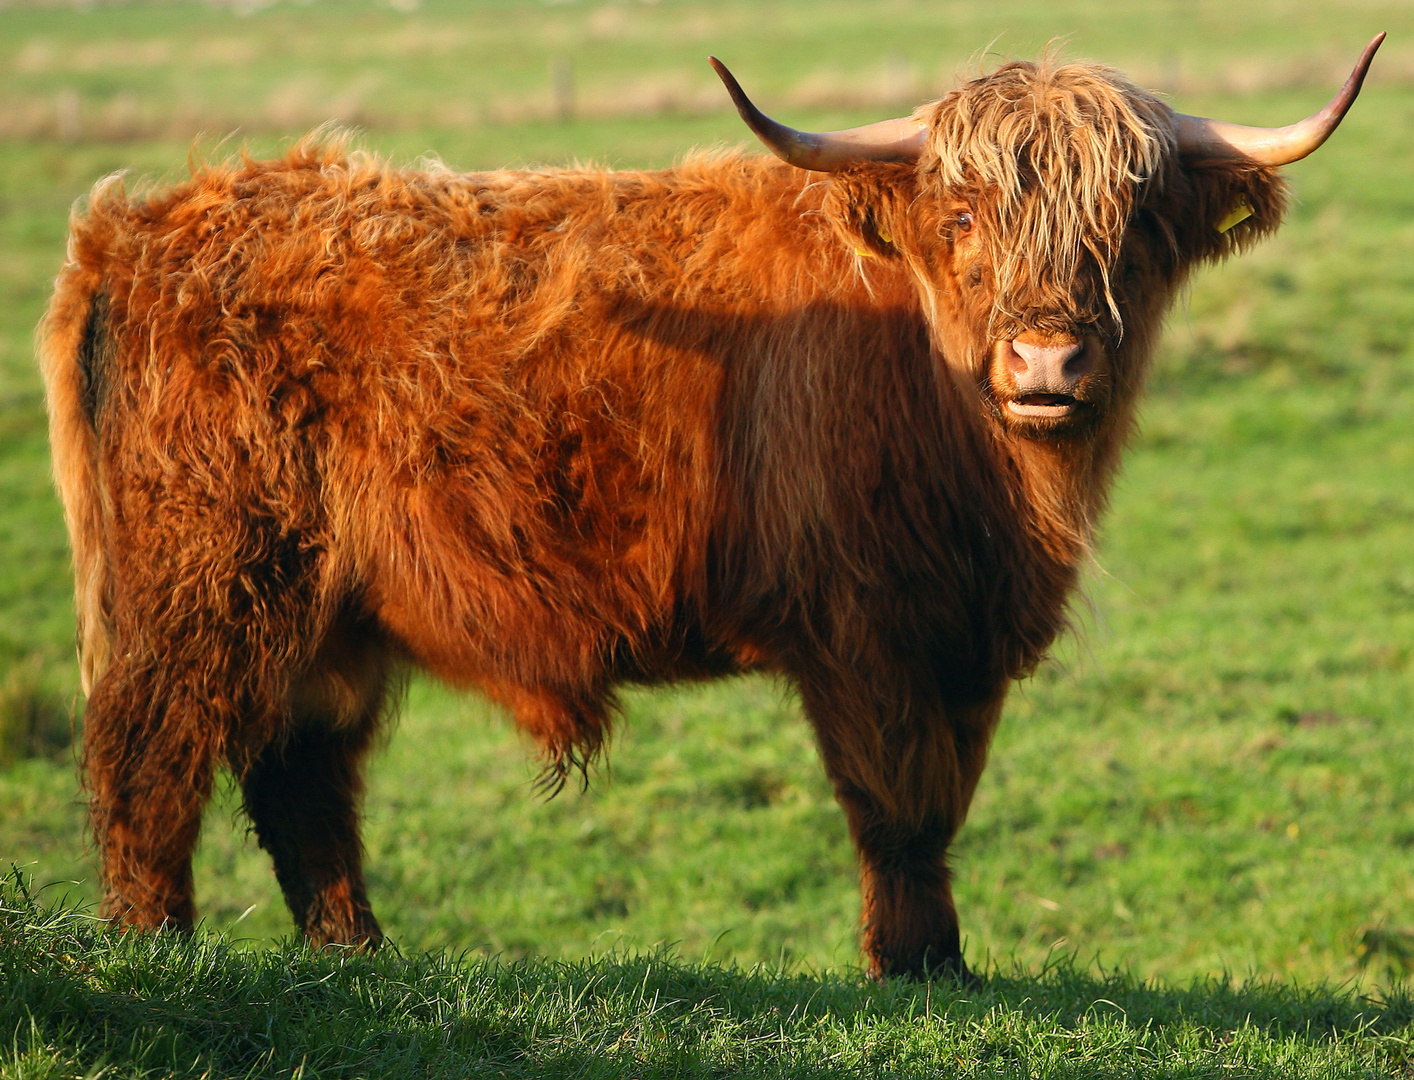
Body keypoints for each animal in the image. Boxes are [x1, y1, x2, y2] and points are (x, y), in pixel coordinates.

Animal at [41, 37, 1380, 978]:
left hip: (326, 615)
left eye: (1132, 227)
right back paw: (155, 947)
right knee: (152, 760)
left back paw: (357, 956)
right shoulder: (865, 627)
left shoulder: (963, 636)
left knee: (302, 776)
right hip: (201, 581)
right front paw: (914, 968)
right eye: (961, 218)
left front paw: (943, 959)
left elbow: (943, 799)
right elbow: (896, 803)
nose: (1045, 362)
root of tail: (130, 228)